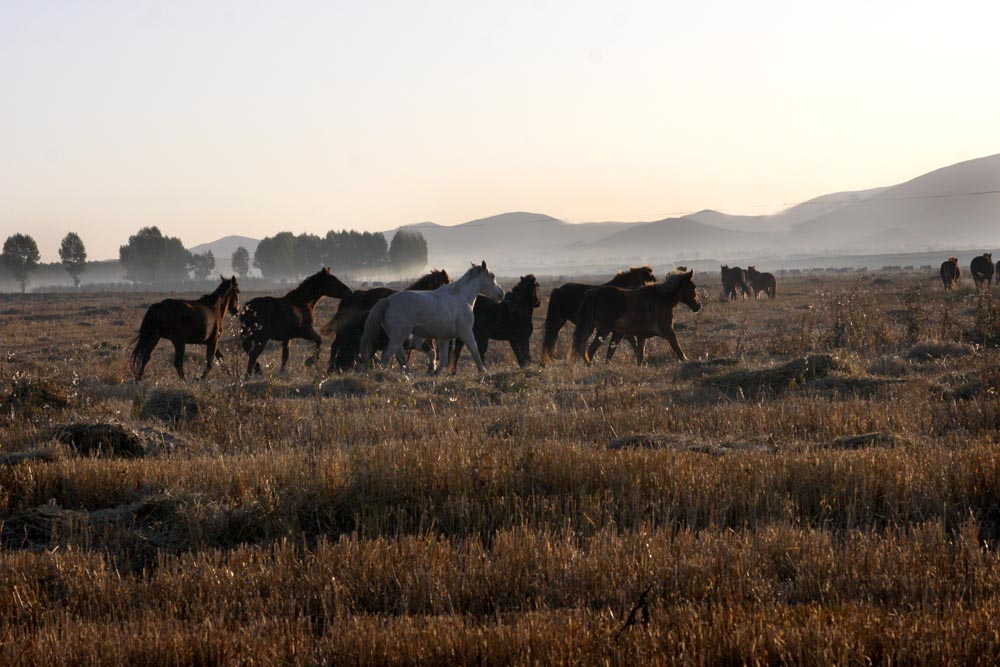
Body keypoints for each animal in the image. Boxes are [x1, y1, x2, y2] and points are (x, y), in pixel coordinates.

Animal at [358, 262, 504, 376]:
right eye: (492, 276)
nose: (501, 294)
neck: (461, 297)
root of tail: (387, 300)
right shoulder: (466, 333)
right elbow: (475, 353)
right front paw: (483, 372)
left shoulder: (444, 338)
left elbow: (443, 359)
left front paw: (434, 374)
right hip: (398, 336)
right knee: (387, 355)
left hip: (397, 337)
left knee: (399, 356)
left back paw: (408, 375)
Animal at [572, 268, 704, 368]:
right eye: (693, 287)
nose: (698, 306)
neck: (662, 298)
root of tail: (593, 293)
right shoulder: (668, 331)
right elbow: (678, 349)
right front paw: (687, 360)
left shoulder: (641, 336)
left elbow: (640, 356)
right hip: (604, 331)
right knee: (590, 350)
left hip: (596, 329)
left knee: (588, 350)